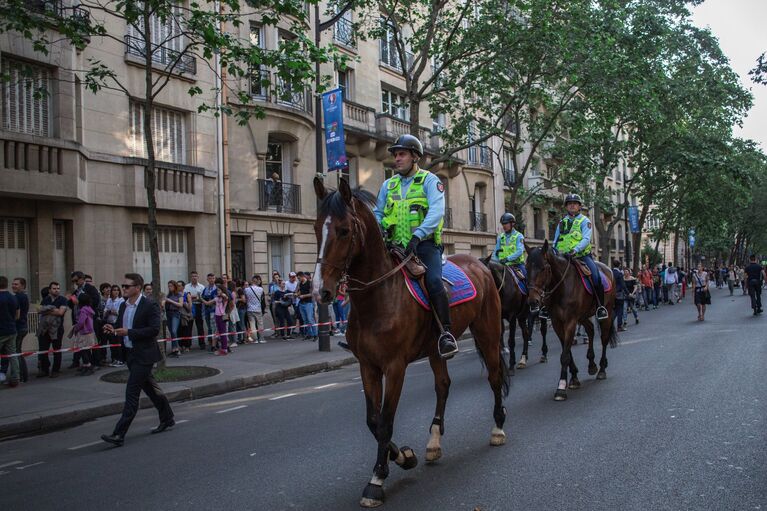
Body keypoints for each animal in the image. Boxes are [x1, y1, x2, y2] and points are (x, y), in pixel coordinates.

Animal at [312, 179, 510, 508]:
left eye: (344, 230)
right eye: (316, 228)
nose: (321, 292)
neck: (378, 298)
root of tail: (480, 263)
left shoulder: (395, 367)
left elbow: (385, 421)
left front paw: (377, 480)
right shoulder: (368, 366)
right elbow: (373, 420)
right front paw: (404, 456)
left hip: (488, 332)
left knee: (494, 377)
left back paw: (497, 428)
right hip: (435, 349)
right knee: (443, 385)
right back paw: (434, 442)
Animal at [524, 242, 620, 402]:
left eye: (543, 268)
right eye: (526, 268)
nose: (533, 301)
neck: (562, 288)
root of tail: (608, 269)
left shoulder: (570, 321)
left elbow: (564, 356)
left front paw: (561, 387)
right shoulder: (557, 323)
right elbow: (567, 351)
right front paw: (574, 378)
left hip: (606, 312)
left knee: (604, 339)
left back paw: (601, 369)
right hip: (583, 316)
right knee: (590, 330)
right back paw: (592, 364)